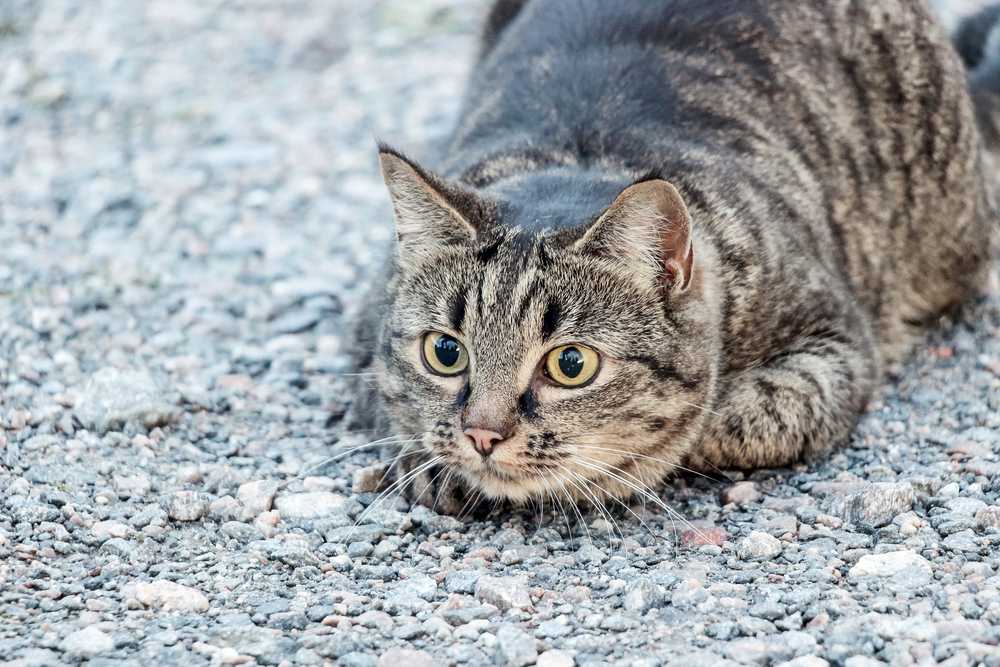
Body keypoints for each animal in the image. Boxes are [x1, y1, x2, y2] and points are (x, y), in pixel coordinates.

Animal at [348, 0, 996, 516]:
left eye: (571, 365)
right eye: (445, 352)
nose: (483, 434)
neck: (581, 152)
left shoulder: (836, 342)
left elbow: (732, 417)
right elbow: (385, 394)